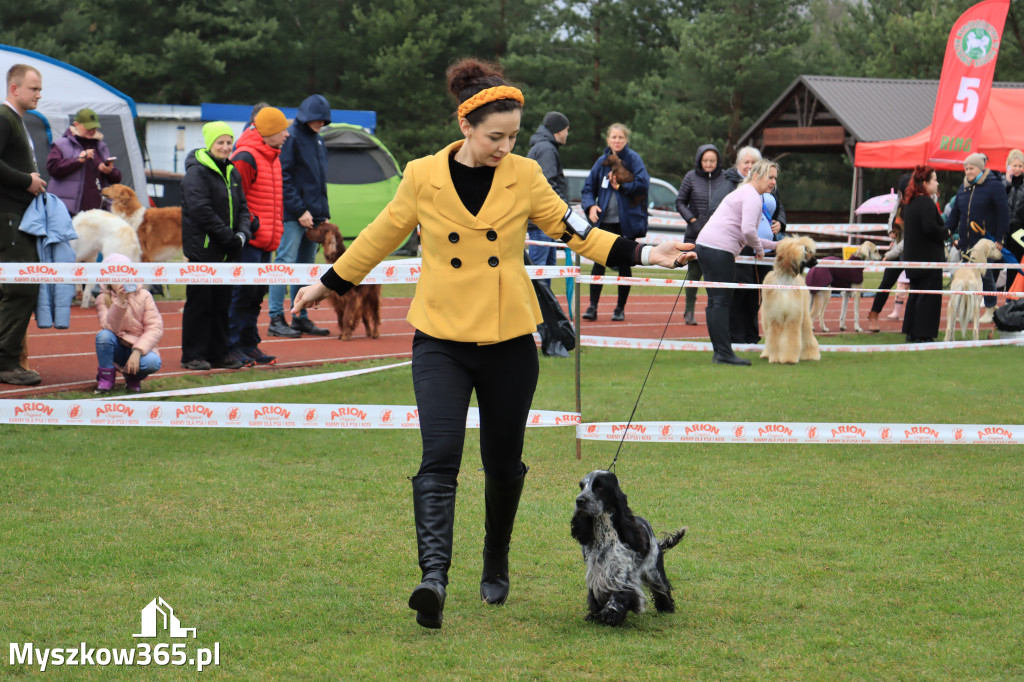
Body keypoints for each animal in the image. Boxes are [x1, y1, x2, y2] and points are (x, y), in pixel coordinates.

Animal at [761, 235, 823, 364]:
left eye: (809, 250)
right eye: (805, 251)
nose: (816, 262)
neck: (785, 282)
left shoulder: (794, 315)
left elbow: (791, 338)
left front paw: (789, 358)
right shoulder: (775, 316)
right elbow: (774, 338)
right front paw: (775, 358)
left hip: (804, 313)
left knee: (807, 331)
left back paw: (811, 354)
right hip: (765, 317)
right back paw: (766, 354)